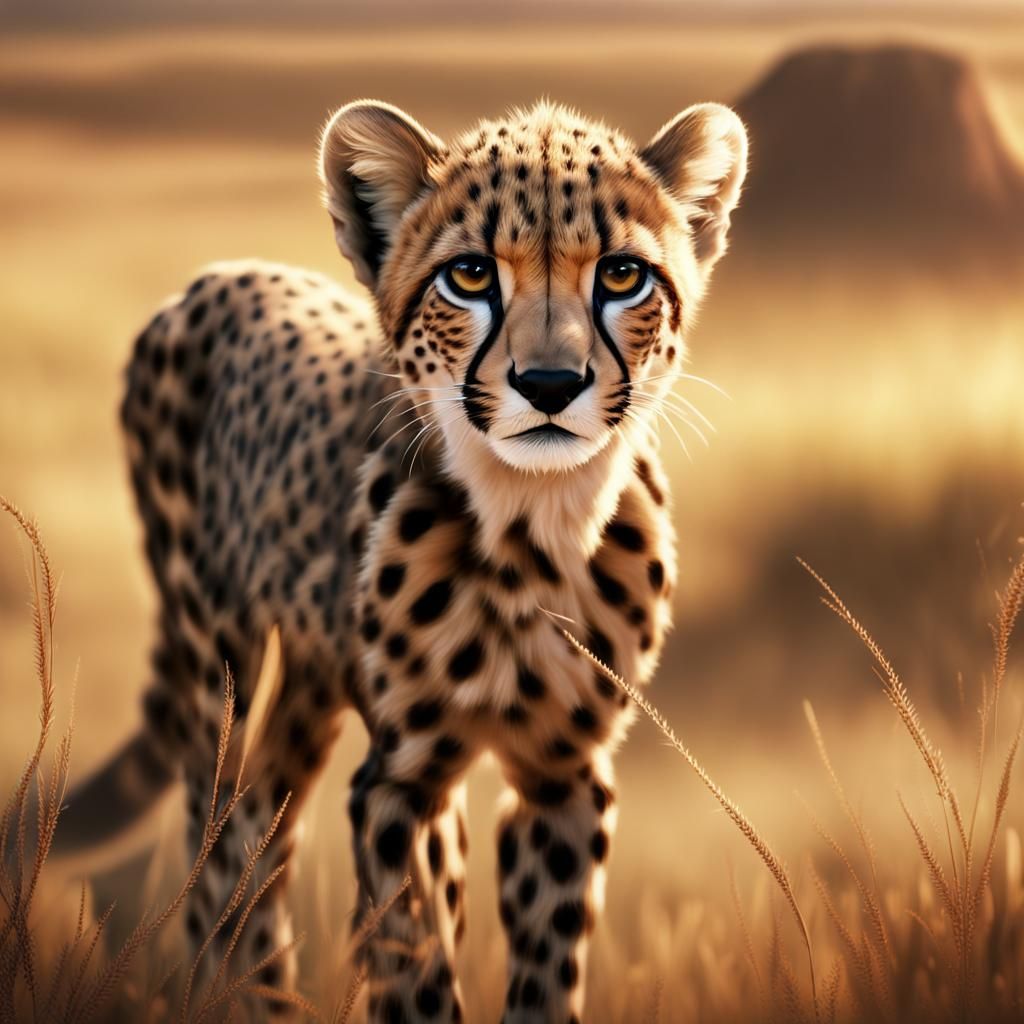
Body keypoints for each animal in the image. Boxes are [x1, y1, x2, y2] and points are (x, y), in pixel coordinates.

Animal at [54, 99, 748, 1022]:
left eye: (623, 275)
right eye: (471, 275)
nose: (551, 384)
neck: (530, 530)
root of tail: (210, 279)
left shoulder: (562, 773)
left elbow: (545, 962)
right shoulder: (402, 779)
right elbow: (412, 963)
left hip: (312, 683)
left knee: (262, 823)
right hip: (218, 663)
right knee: (217, 844)